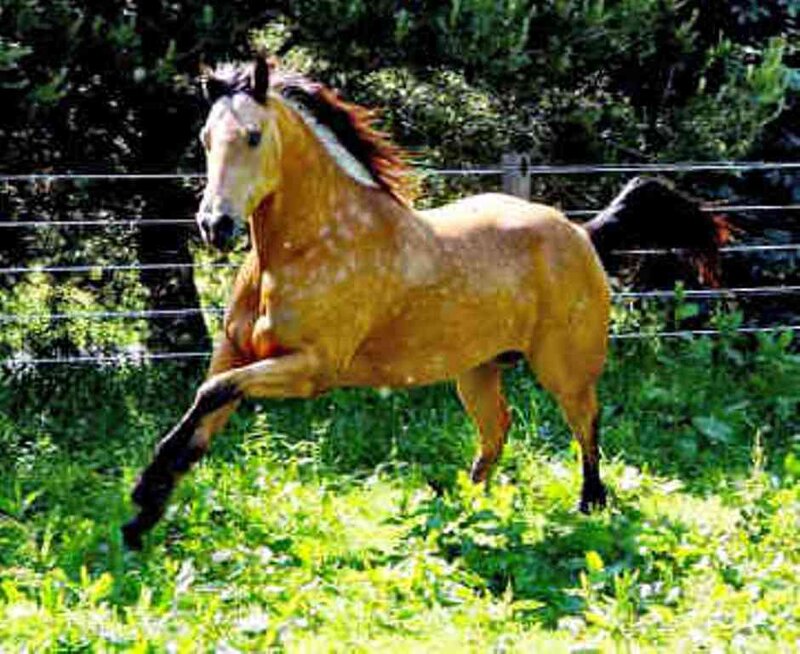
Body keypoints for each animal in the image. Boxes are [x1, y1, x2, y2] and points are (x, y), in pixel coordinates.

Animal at [122, 57, 728, 549]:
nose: (215, 225)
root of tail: (581, 233)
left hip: (565, 367)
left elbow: (208, 396)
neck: (306, 248)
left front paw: (142, 494)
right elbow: (203, 417)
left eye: (252, 136)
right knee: (497, 431)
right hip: (477, 370)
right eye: (205, 138)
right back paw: (465, 509)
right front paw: (141, 516)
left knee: (587, 424)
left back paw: (589, 505)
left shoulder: (311, 370)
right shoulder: (235, 354)